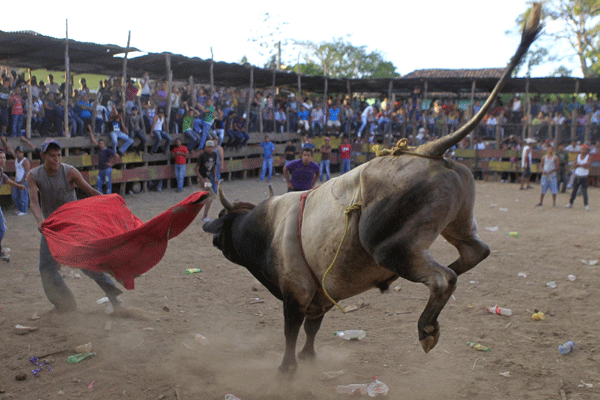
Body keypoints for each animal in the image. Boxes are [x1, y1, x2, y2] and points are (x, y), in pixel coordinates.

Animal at [203, 5, 544, 376]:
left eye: (221, 222)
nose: (213, 238)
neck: (267, 226)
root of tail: (427, 150)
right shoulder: (319, 299)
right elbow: (312, 329)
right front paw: (308, 357)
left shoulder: (296, 295)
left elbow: (292, 332)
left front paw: (286, 368)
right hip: (459, 221)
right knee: (473, 253)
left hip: (391, 247)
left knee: (443, 278)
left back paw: (427, 327)